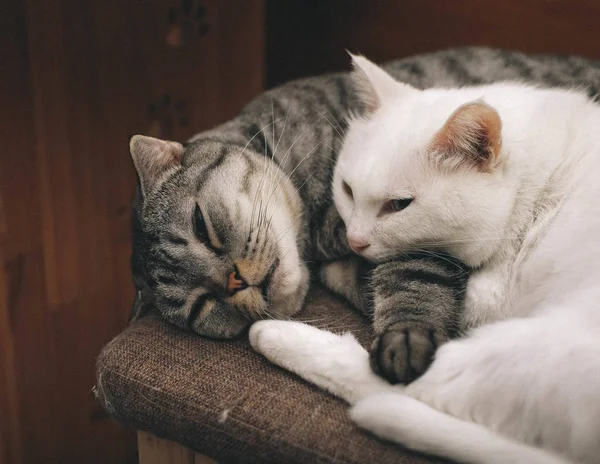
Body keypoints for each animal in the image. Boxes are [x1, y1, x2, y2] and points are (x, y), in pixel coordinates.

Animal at [248, 55, 600, 464]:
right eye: (347, 190)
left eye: (399, 205)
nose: (355, 240)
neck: (537, 186)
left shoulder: (490, 296)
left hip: (527, 348)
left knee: (408, 385)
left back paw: (276, 335)